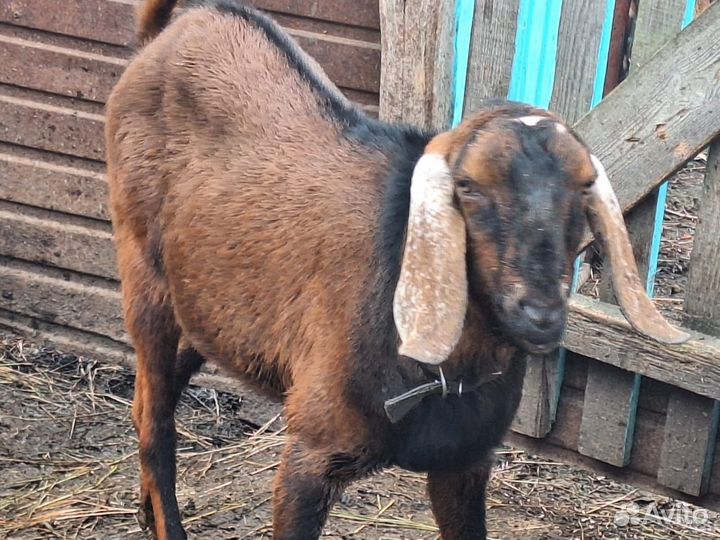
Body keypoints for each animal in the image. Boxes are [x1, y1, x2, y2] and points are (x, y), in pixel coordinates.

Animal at [105, 1, 688, 538]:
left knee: (151, 397)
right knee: (154, 420)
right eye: (468, 188)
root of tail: (171, 31)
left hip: (207, 306)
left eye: (584, 188)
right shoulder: (310, 454)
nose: (539, 314)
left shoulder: (464, 462)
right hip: (143, 271)